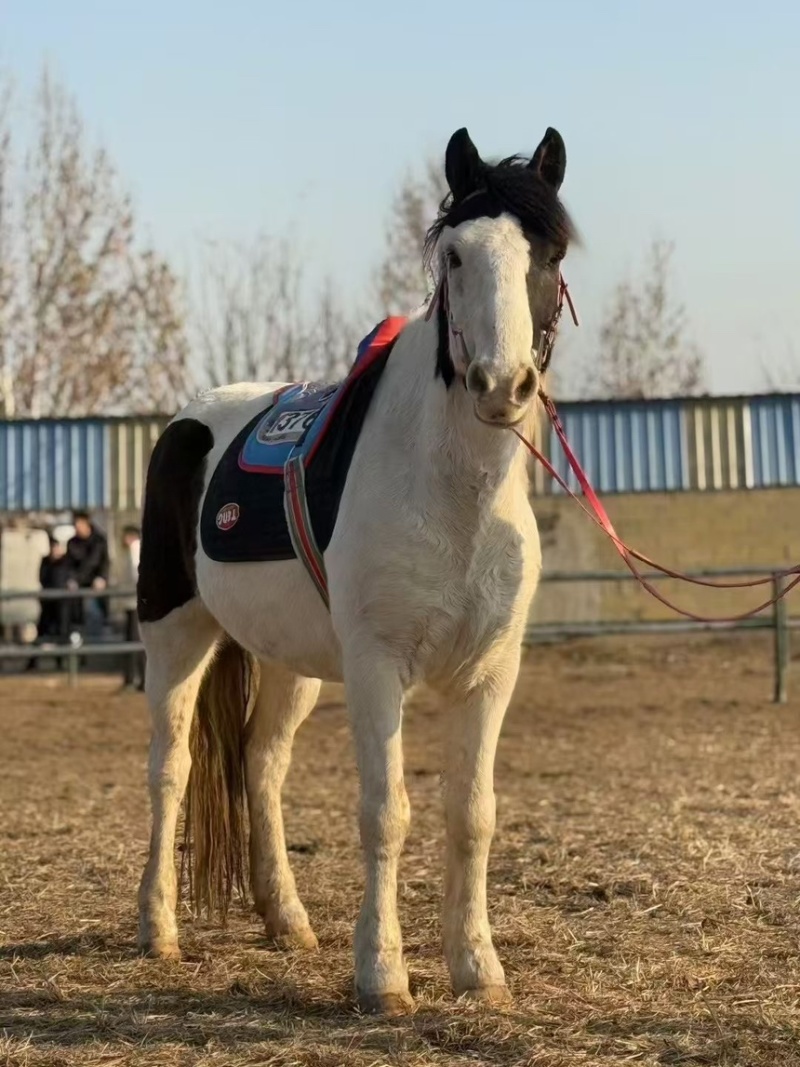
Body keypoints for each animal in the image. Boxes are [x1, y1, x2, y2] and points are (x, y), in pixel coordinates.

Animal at [135, 124, 576, 1016]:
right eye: (455, 256)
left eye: (547, 253)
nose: (501, 384)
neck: (453, 494)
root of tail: (189, 421)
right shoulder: (378, 667)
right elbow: (386, 813)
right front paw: (382, 974)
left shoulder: (491, 674)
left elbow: (472, 814)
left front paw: (477, 966)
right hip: (176, 635)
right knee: (172, 767)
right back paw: (157, 927)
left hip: (288, 664)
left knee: (261, 766)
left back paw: (287, 919)